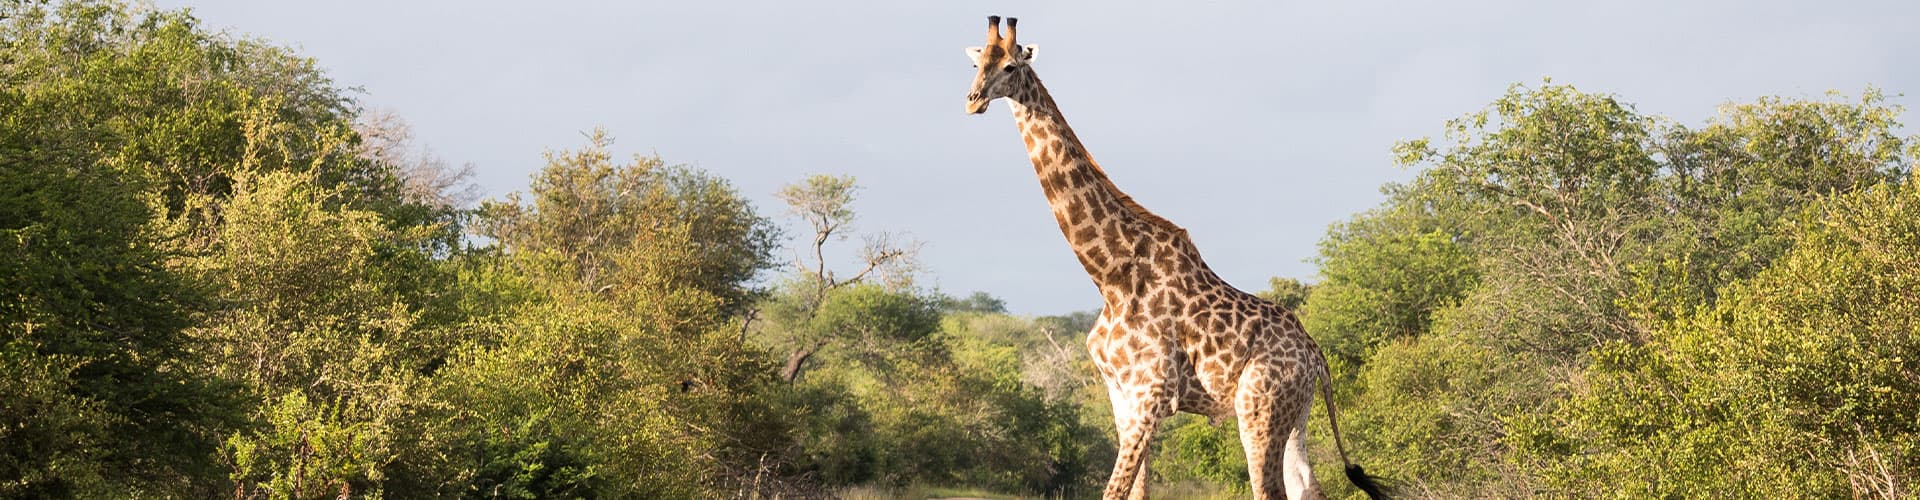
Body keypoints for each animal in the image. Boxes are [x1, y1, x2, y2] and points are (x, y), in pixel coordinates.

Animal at [962, 16, 1387, 500]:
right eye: (978, 62)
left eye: (1011, 66)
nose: (973, 101)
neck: (1109, 275)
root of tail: (1315, 355)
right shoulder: (1122, 399)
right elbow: (1136, 491)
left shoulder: (1151, 396)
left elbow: (1114, 491)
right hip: (1295, 416)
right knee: (1308, 488)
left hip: (1259, 410)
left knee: (1270, 490)